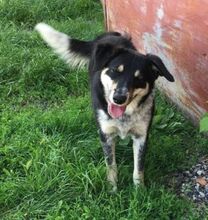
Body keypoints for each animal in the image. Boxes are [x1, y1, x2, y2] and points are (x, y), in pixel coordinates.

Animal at [35, 23, 174, 192]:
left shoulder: (141, 136)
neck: (124, 116)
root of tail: (108, 35)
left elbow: (138, 167)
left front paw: (139, 190)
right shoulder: (106, 135)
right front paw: (112, 189)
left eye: (139, 78)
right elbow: (111, 164)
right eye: (115, 70)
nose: (119, 99)